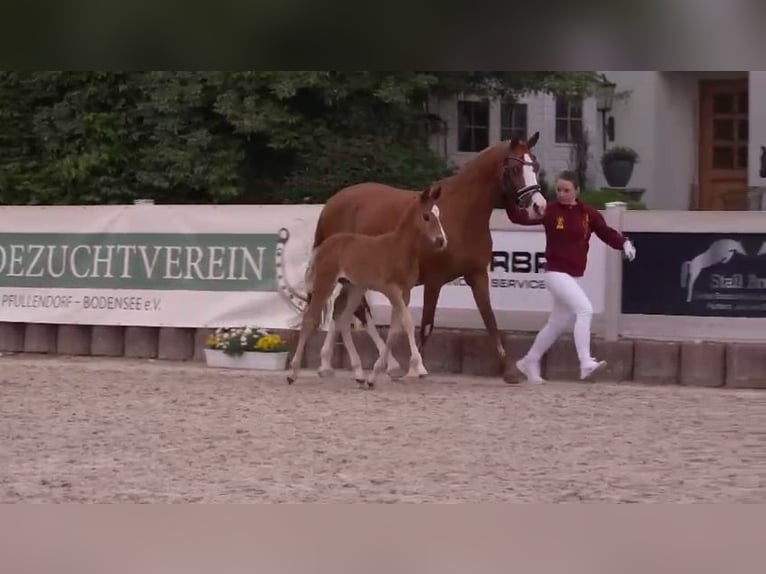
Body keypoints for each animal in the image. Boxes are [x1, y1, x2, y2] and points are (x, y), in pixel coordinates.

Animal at [290, 187, 450, 390]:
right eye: (426, 216)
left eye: (439, 214)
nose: (441, 241)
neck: (399, 248)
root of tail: (324, 244)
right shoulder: (391, 290)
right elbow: (407, 323)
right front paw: (418, 367)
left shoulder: (405, 292)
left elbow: (394, 330)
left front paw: (375, 375)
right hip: (326, 283)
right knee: (309, 319)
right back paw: (292, 374)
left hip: (354, 288)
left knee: (342, 319)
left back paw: (359, 374)